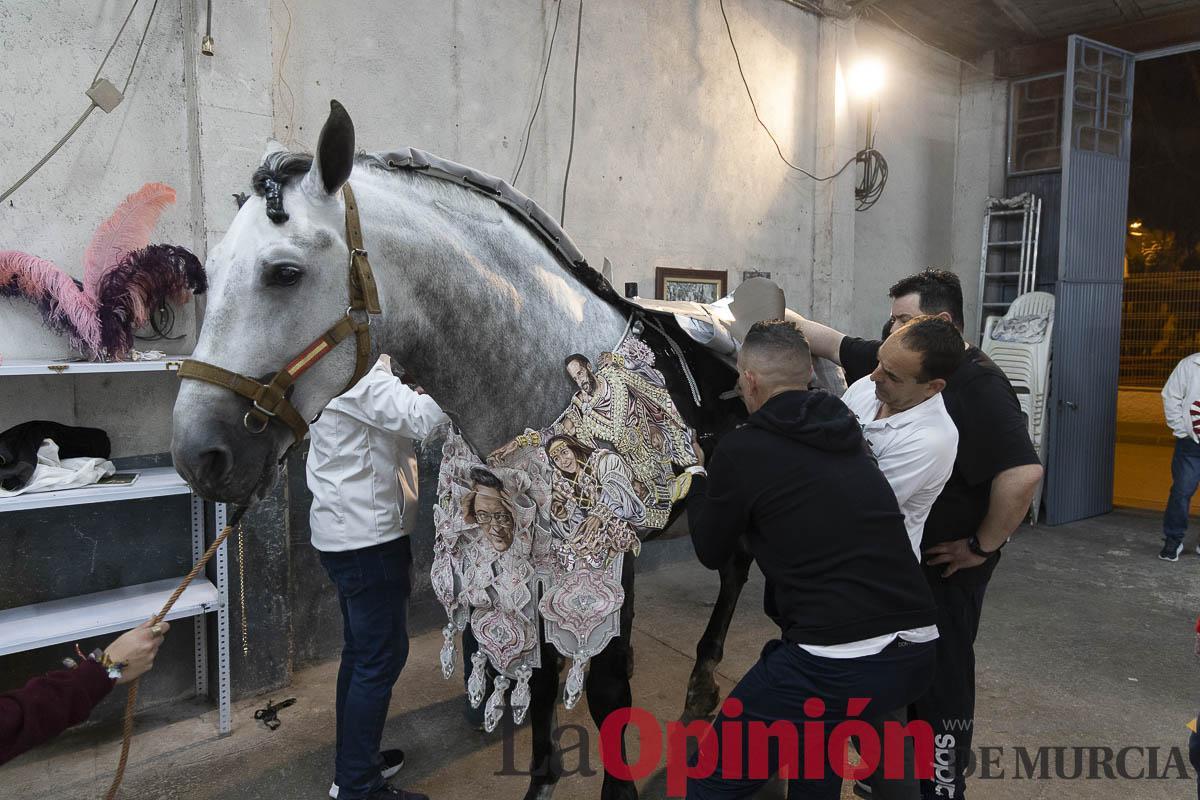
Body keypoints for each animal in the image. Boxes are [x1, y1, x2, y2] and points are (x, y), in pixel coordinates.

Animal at [171, 100, 757, 800]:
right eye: (211, 271)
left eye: (284, 272)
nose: (199, 454)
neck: (554, 371)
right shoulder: (531, 556)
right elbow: (541, 669)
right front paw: (541, 781)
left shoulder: (610, 558)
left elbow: (609, 690)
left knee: (736, 571)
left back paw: (704, 681)